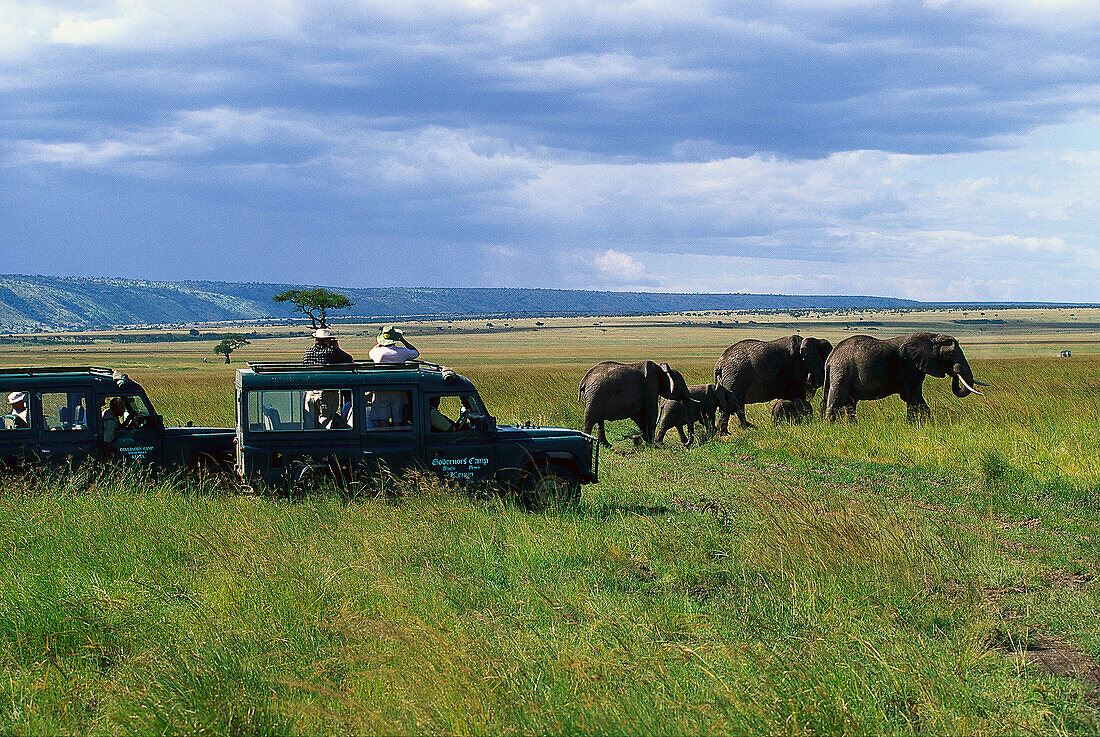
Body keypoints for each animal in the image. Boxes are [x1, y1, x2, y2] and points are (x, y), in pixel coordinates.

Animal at [822, 334, 985, 424]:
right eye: (950, 354)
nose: (955, 371)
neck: (932, 338)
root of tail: (830, 358)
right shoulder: (909, 365)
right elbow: (914, 396)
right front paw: (918, 424)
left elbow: (911, 397)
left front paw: (918, 423)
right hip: (841, 372)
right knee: (837, 399)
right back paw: (829, 426)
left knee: (850, 403)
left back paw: (852, 426)